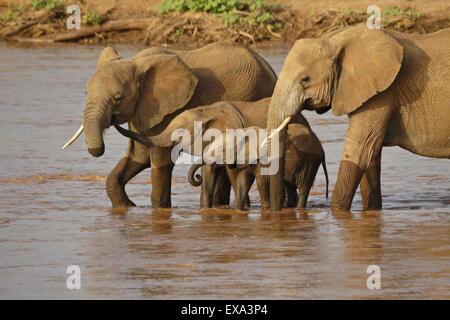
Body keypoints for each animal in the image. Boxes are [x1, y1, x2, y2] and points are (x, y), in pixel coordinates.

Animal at [61, 42, 276, 208]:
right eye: (86, 94)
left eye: (118, 98)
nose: (96, 150)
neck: (135, 63)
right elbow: (138, 155)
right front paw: (127, 206)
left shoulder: (166, 106)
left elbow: (160, 158)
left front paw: (159, 209)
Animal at [266, 23, 450, 211]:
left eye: (305, 79)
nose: (278, 210)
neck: (335, 41)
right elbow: (371, 156)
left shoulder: (381, 95)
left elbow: (359, 152)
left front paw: (337, 212)